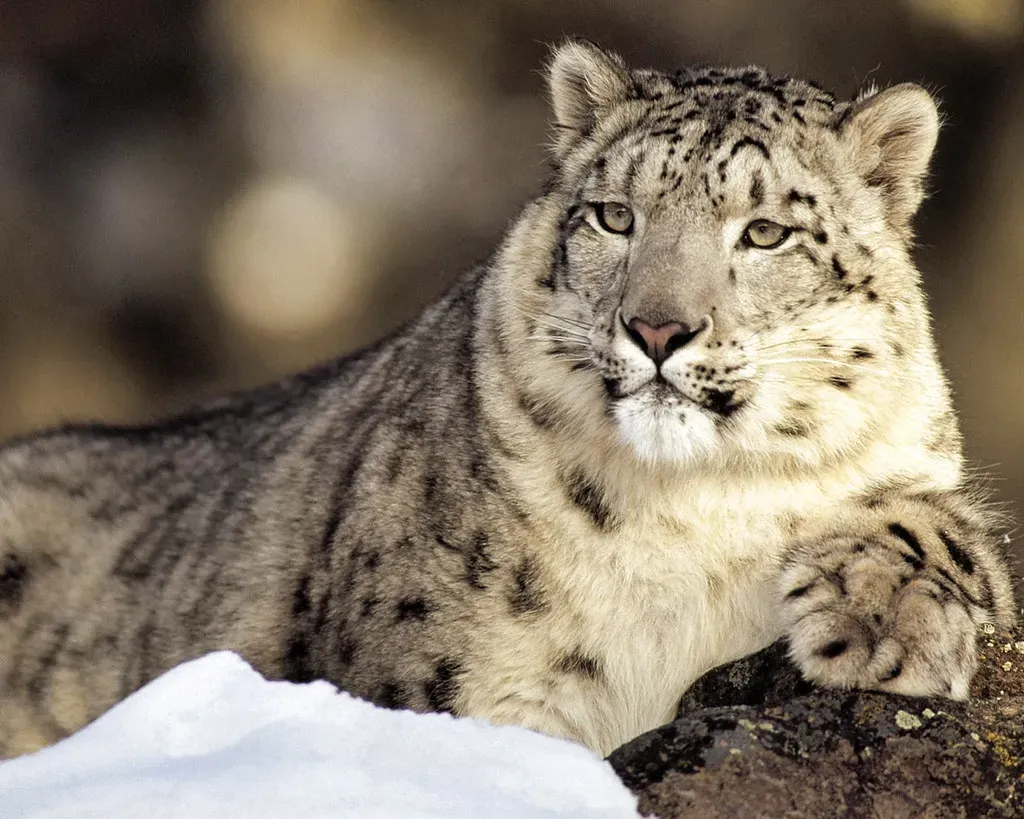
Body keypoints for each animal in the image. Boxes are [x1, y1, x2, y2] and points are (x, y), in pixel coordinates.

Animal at [0, 40, 1015, 758]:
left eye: (766, 232)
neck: (696, 507)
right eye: (615, 215)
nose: (657, 329)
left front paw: (880, 625)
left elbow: (945, 527)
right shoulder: (459, 692)